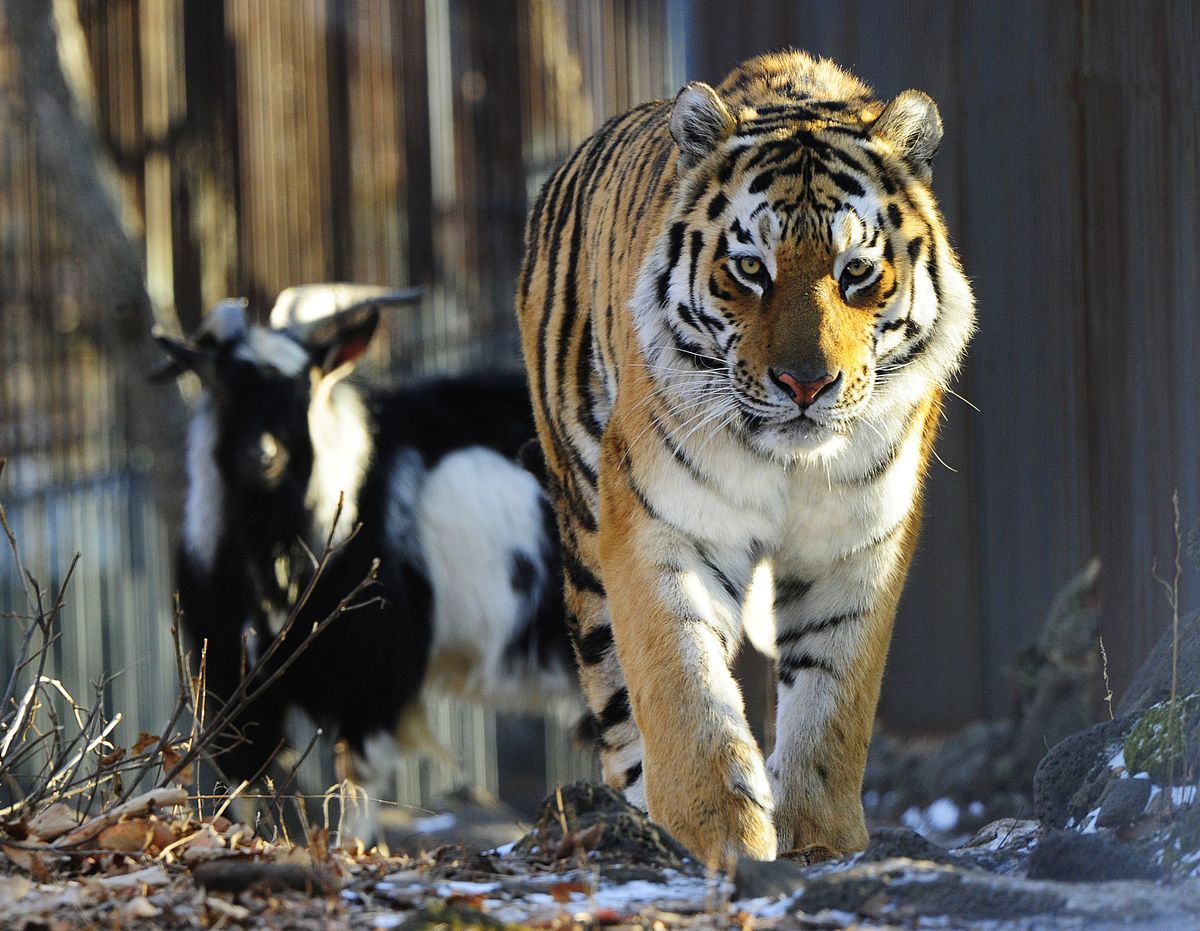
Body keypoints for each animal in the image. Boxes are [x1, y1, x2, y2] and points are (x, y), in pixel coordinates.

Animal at [152, 285, 573, 835]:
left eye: (304, 387)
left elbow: (354, 792)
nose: (263, 456)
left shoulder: (371, 677)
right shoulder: (230, 683)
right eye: (224, 386)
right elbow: (251, 788)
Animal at [516, 50, 974, 863]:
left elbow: (834, 700)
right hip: (583, 530)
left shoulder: (859, 543)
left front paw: (821, 842)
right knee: (618, 705)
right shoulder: (661, 526)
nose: (806, 383)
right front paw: (719, 834)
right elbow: (683, 688)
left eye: (856, 271)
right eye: (752, 268)